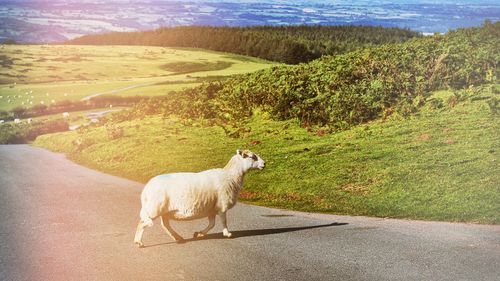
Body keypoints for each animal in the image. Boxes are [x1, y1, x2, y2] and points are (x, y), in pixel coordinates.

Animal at [133, 148, 266, 246]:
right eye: (253, 157)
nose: (264, 164)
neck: (231, 176)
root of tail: (146, 189)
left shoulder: (212, 208)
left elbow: (212, 224)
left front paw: (199, 234)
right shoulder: (222, 205)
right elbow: (223, 221)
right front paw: (227, 234)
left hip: (164, 211)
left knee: (165, 225)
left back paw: (178, 238)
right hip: (155, 208)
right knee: (142, 223)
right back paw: (138, 242)